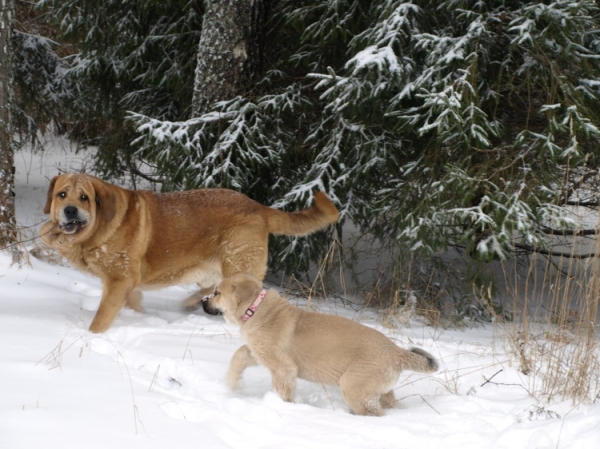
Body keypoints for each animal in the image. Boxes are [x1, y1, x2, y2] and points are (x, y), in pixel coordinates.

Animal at [38, 172, 338, 332]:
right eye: (62, 195)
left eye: (84, 197)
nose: (70, 211)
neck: (101, 226)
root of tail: (258, 207)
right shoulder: (126, 284)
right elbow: (133, 301)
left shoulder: (119, 281)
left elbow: (101, 318)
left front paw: (92, 337)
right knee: (212, 286)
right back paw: (192, 303)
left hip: (237, 263)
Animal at [204, 272, 438, 416]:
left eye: (217, 292)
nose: (203, 301)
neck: (256, 308)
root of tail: (397, 352)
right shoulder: (261, 353)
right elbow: (239, 354)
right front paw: (233, 383)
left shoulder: (283, 368)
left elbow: (283, 391)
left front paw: (284, 407)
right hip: (380, 392)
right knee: (393, 405)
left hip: (355, 388)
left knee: (375, 414)